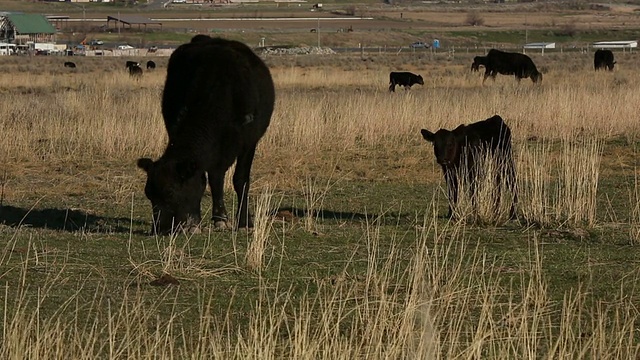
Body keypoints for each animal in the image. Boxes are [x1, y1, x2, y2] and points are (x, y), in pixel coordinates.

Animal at [135, 35, 276, 235]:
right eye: (148, 194)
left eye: (170, 192)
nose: (159, 229)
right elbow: (204, 179)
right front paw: (197, 222)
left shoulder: (249, 142)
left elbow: (239, 179)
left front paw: (241, 222)